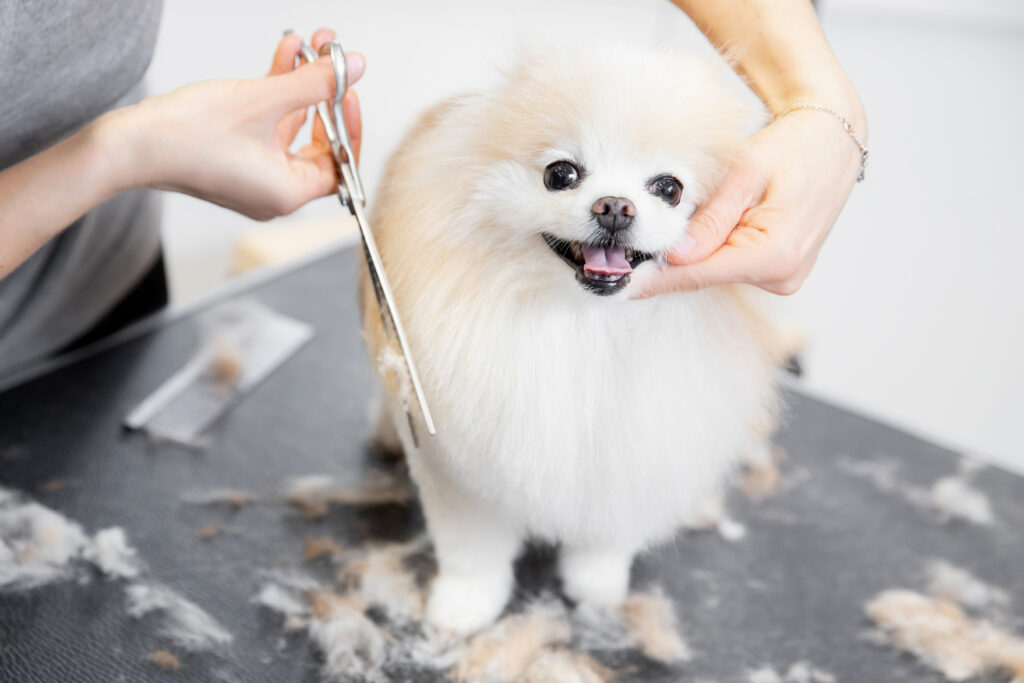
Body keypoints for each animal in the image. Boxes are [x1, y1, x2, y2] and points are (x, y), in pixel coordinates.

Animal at [364, 45, 786, 634]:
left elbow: (606, 539)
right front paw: (464, 606)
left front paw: (597, 588)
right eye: (560, 173)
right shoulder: (459, 466)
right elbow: (472, 549)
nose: (615, 206)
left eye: (669, 188)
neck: (587, 326)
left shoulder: (632, 453)